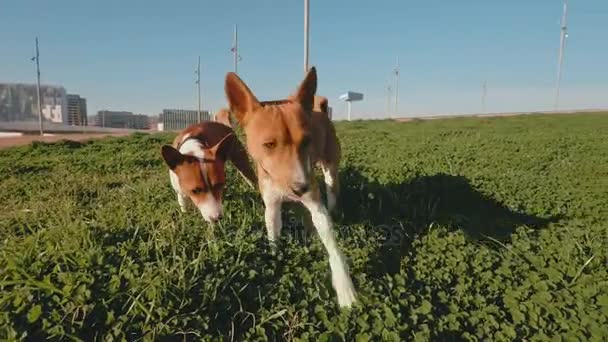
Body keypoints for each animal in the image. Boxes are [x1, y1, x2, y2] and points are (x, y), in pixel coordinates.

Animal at [223, 67, 356, 308]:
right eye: (269, 144)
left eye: (307, 140)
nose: (301, 187)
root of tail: (319, 110)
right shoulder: (272, 205)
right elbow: (273, 235)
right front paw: (275, 261)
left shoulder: (315, 201)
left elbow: (332, 244)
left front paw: (345, 288)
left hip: (330, 169)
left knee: (331, 191)